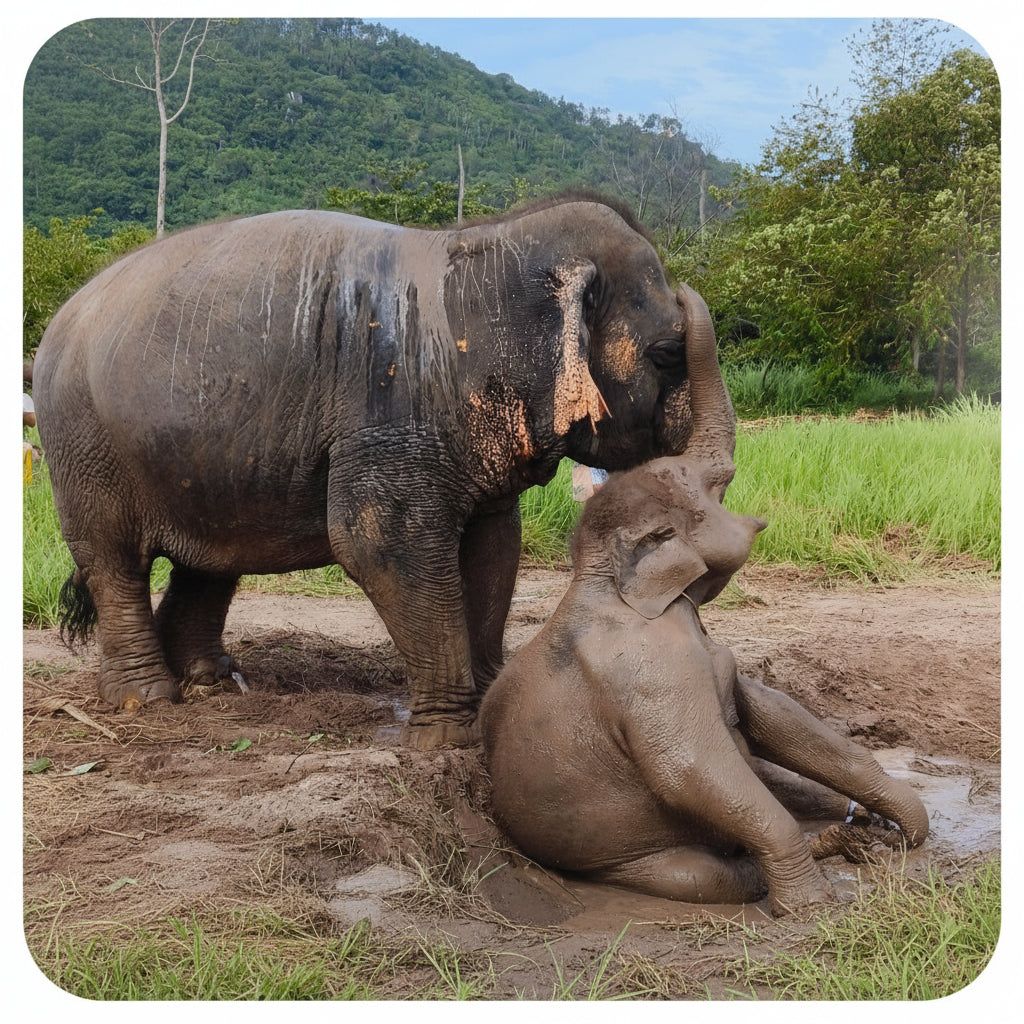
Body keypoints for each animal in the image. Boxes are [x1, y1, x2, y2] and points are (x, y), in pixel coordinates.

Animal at [34, 192, 705, 748]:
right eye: (668, 354)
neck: (485, 247)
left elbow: (493, 547)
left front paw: (491, 705)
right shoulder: (390, 411)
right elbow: (380, 542)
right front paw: (449, 741)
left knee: (211, 559)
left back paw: (212, 681)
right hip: (82, 444)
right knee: (112, 559)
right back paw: (146, 698)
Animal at [479, 294, 929, 913]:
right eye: (709, 484)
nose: (681, 296)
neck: (607, 577)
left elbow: (767, 709)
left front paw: (901, 827)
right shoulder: (652, 673)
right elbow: (691, 768)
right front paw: (812, 907)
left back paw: (854, 833)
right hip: (631, 861)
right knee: (708, 874)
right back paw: (824, 852)